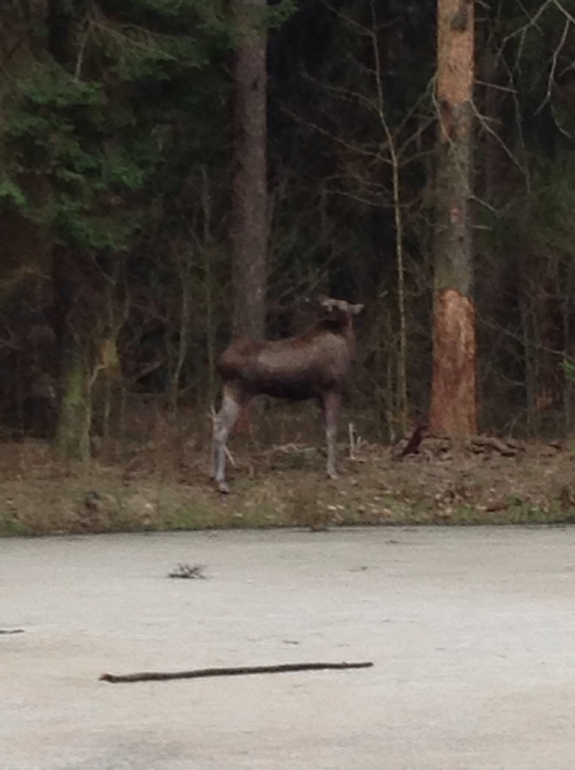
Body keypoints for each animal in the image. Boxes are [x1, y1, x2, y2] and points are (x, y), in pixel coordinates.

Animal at [211, 296, 364, 493]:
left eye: (341, 305)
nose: (330, 308)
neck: (345, 341)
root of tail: (220, 363)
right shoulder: (332, 389)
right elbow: (332, 431)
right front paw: (332, 471)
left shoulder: (320, 395)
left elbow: (327, 430)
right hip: (238, 391)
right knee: (222, 428)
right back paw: (222, 481)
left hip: (229, 391)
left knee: (216, 421)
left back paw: (213, 474)